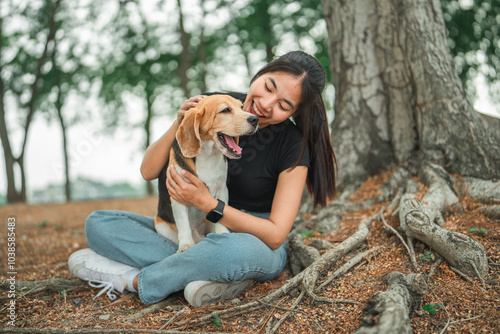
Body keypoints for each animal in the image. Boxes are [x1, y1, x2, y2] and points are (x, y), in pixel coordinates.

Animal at [155, 95, 258, 252]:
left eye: (241, 107)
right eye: (225, 110)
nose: (255, 119)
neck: (208, 155)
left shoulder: (222, 189)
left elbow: (222, 216)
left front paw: (222, 233)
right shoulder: (177, 194)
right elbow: (183, 223)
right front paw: (186, 245)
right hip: (161, 225)